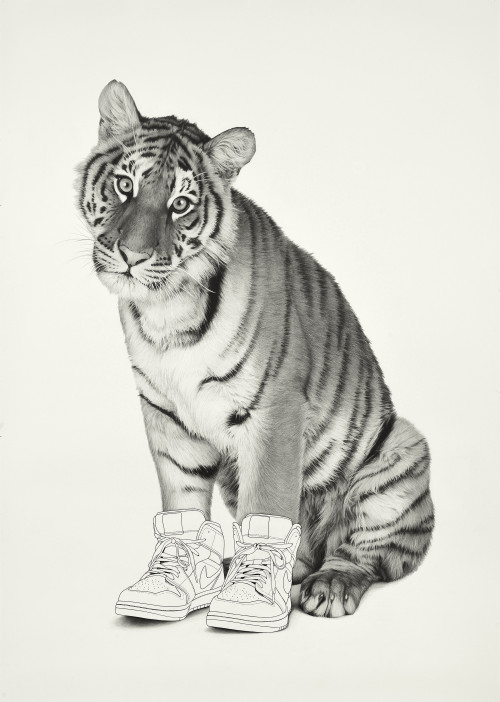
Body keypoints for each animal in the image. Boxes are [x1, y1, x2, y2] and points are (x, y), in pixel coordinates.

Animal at [77, 80, 434, 618]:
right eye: (124, 185)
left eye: (180, 204)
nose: (131, 256)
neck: (167, 311)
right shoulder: (165, 413)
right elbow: (181, 503)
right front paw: (168, 583)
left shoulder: (273, 411)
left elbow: (265, 509)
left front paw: (249, 603)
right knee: (303, 555)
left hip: (401, 451)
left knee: (363, 554)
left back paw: (330, 586)